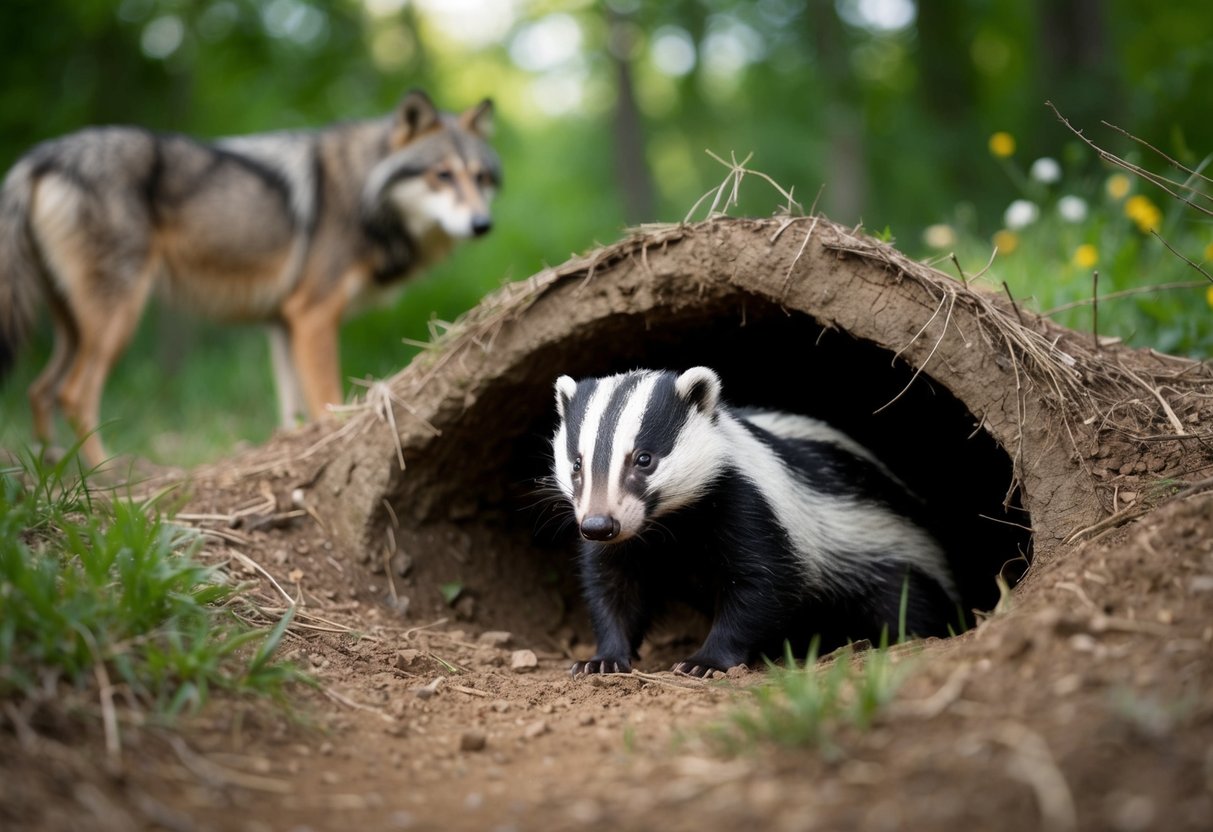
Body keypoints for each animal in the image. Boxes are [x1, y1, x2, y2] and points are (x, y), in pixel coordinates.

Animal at [0, 89, 499, 466]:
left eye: (480, 178)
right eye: (442, 175)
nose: (482, 225)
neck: (366, 192)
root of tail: (40, 157)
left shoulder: (283, 324)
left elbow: (292, 413)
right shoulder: (313, 316)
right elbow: (327, 399)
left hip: (75, 328)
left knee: (38, 391)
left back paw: (54, 471)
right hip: (116, 322)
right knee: (72, 395)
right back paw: (104, 475)